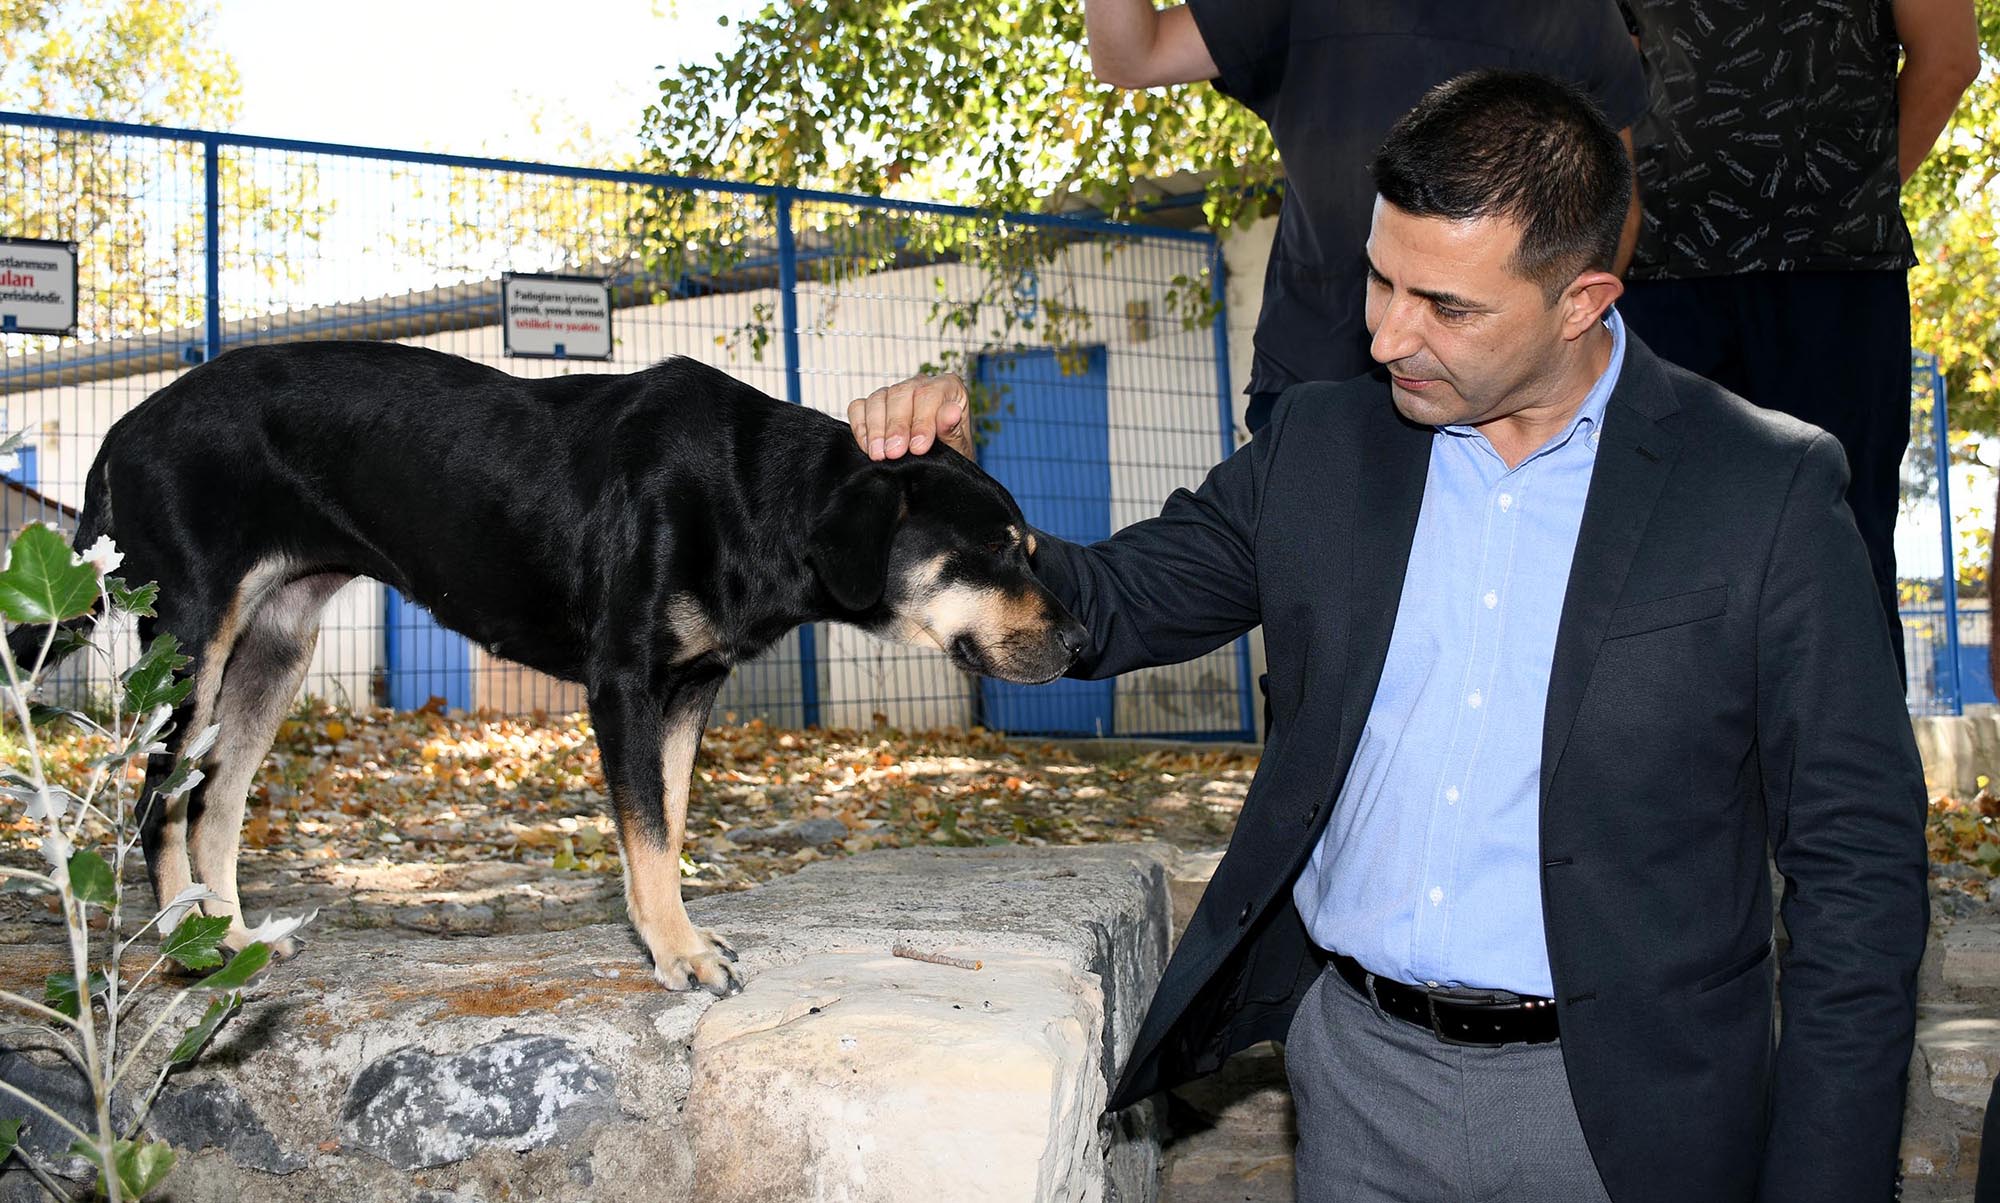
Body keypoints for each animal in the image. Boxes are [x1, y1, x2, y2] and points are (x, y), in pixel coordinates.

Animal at [23, 339, 1088, 991]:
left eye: (1030, 548)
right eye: (999, 548)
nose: (1081, 643)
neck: (751, 494)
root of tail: (122, 429)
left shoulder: (687, 692)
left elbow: (663, 824)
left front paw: (663, 933)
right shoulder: (622, 685)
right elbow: (649, 832)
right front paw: (681, 954)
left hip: (273, 648)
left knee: (216, 798)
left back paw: (232, 937)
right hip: (191, 638)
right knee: (156, 800)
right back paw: (184, 949)